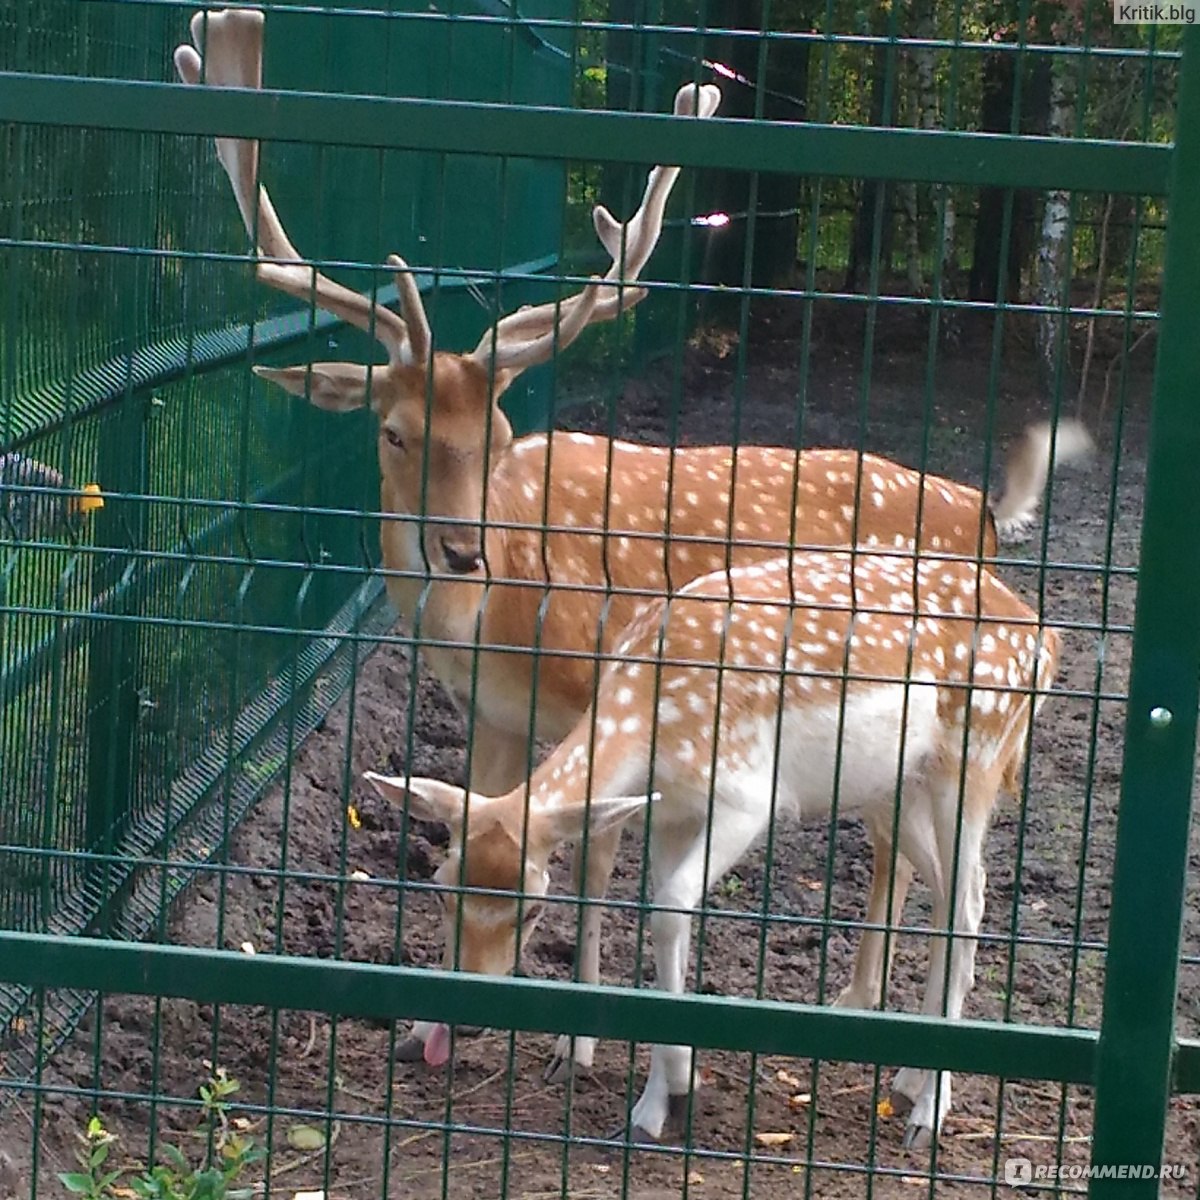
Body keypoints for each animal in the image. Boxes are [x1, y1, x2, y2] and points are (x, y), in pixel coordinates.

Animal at [175, 9, 1089, 1075]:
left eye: (497, 434)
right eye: (392, 432)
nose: (459, 550)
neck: (498, 612)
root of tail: (982, 508)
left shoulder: (599, 683)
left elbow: (599, 856)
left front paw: (578, 1037)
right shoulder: (489, 713)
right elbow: (478, 816)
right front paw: (432, 1020)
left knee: (917, 859)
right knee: (901, 847)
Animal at [364, 549, 1060, 1147]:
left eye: (534, 907)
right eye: (440, 888)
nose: (467, 1015)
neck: (649, 716)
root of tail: (1045, 639)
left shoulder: (748, 795)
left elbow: (670, 909)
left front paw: (679, 1086)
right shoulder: (668, 815)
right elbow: (663, 919)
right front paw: (656, 1103)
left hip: (975, 758)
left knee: (969, 902)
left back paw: (927, 1112)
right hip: (893, 786)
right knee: (951, 892)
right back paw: (911, 1079)